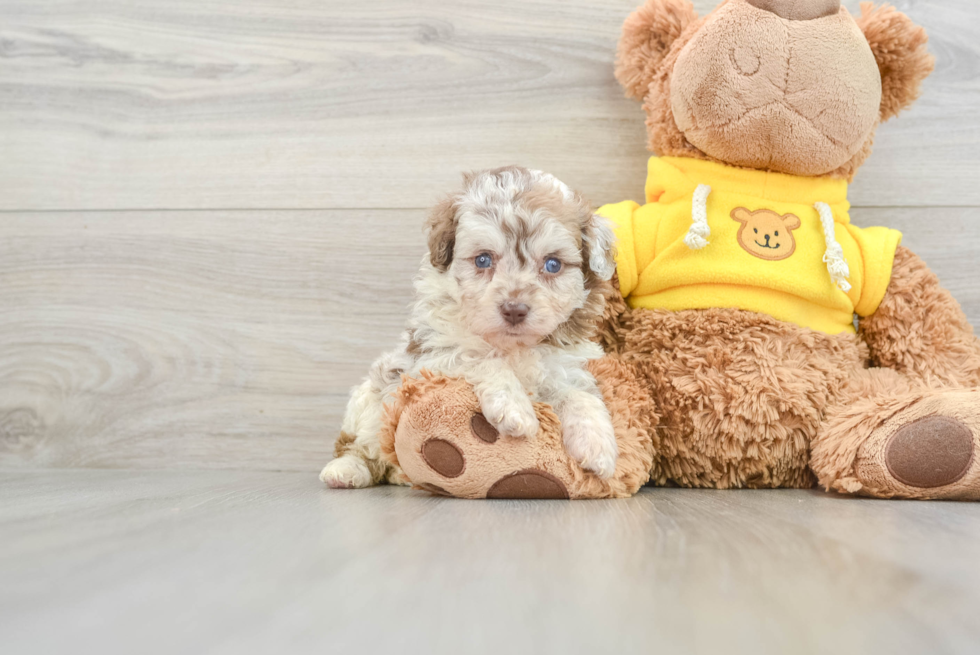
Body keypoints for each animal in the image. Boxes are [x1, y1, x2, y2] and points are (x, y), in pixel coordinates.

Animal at [320, 167, 620, 490]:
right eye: (483, 259)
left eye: (553, 264)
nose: (514, 309)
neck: (512, 346)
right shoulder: (429, 357)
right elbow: (476, 355)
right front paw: (514, 408)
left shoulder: (565, 365)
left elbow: (579, 394)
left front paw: (597, 445)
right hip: (368, 404)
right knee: (359, 445)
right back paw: (346, 470)